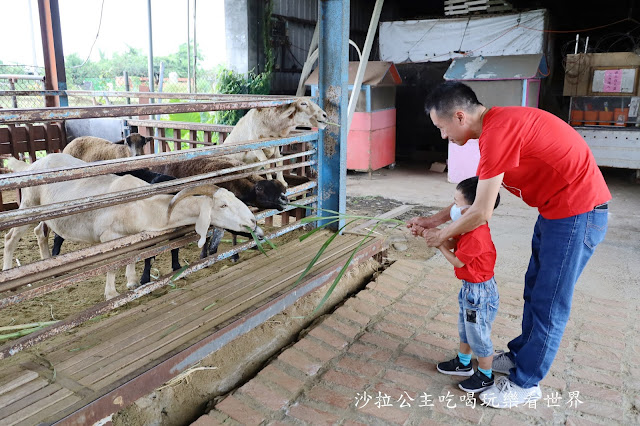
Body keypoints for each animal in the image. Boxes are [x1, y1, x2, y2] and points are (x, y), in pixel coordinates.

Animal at [2, 154, 262, 300]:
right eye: (223, 205)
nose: (254, 223)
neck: (145, 206)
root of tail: (31, 166)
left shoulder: (134, 237)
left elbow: (132, 258)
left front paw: (132, 283)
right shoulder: (108, 238)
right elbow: (111, 266)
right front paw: (112, 294)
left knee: (39, 232)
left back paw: (48, 264)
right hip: (29, 204)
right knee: (11, 237)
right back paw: (11, 278)